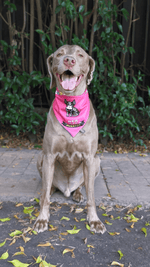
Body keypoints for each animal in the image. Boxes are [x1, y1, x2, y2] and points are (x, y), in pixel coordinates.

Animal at [34, 45, 106, 236]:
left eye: (80, 55)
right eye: (59, 54)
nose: (69, 60)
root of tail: (66, 189)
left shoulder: (89, 157)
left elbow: (92, 196)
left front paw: (94, 221)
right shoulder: (49, 155)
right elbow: (44, 197)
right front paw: (42, 219)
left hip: (96, 161)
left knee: (83, 185)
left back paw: (78, 193)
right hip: (40, 158)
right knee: (47, 187)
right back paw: (52, 189)